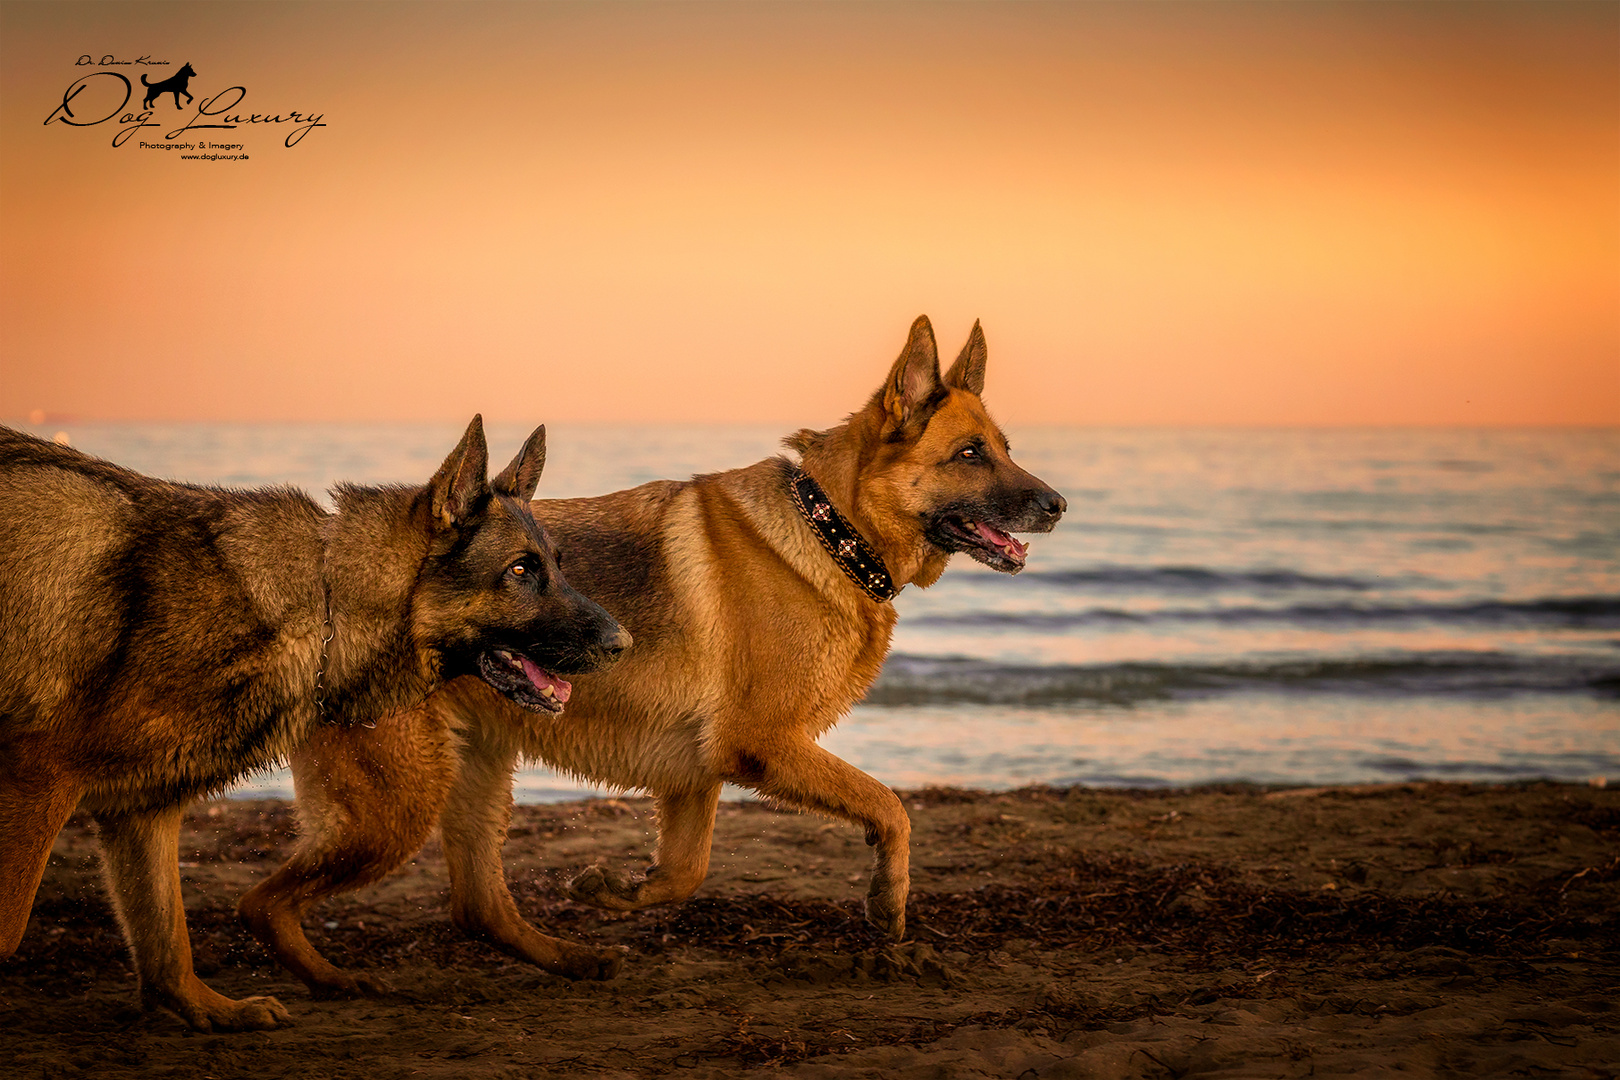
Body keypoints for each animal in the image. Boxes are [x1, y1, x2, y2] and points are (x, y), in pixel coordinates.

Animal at [0, 417, 625, 1036]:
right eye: (520, 570)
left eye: (559, 566)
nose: (625, 642)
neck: (325, 601)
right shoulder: (36, 785)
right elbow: (13, 929)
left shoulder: (141, 809)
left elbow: (165, 942)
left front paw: (211, 1011)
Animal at [239, 314, 1069, 997]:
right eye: (970, 455)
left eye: (1007, 451)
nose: (1060, 505)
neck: (831, 528)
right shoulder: (762, 745)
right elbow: (891, 807)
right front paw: (888, 905)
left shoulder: (696, 772)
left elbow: (683, 872)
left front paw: (615, 891)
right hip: (398, 803)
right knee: (261, 901)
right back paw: (324, 982)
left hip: (473, 774)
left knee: (477, 905)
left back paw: (572, 959)